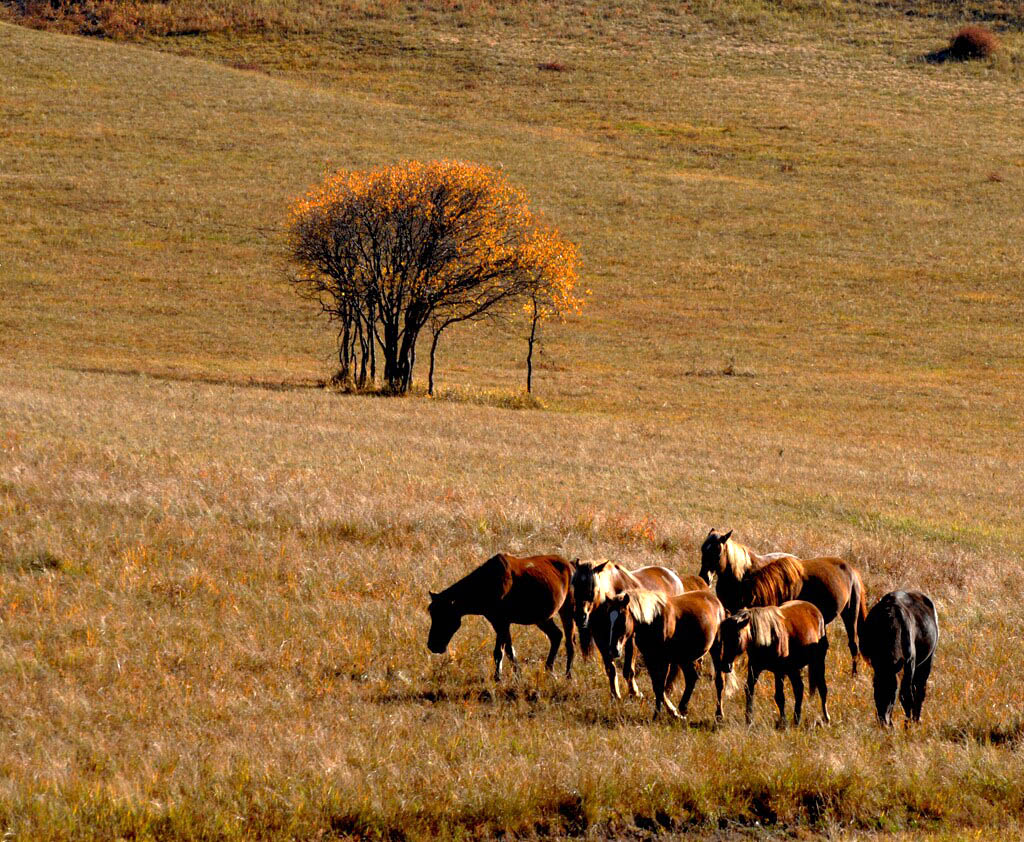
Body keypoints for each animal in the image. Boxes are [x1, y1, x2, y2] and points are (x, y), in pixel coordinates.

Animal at [425, 553, 577, 684]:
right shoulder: (498, 622)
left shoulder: (502, 621)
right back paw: (549, 670)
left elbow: (502, 651)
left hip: (568, 610)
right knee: (556, 636)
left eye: (445, 616)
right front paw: (512, 676)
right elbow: (506, 651)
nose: (433, 645)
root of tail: (572, 566)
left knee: (570, 642)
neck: (487, 584)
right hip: (543, 619)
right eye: (432, 614)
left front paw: (502, 677)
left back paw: (568, 675)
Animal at [569, 561, 704, 700]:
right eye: (575, 587)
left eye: (593, 589)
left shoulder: (630, 640)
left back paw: (668, 689)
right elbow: (610, 669)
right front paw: (615, 695)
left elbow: (629, 670)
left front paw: (634, 693)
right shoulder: (602, 641)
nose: (580, 616)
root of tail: (674, 576)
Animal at [602, 590, 733, 721]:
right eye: (609, 620)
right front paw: (663, 713)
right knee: (691, 678)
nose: (613, 650)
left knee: (719, 682)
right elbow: (657, 686)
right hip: (684, 658)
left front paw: (658, 715)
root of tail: (717, 602)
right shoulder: (650, 659)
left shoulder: (664, 661)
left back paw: (719, 715)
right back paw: (682, 710)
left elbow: (660, 687)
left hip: (716, 649)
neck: (653, 620)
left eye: (623, 620)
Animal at [696, 532, 864, 676]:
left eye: (717, 552)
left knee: (853, 644)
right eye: (703, 549)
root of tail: (851, 570)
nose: (704, 577)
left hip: (851, 614)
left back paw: (854, 674)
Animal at [860, 590, 937, 729]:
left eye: (892, 693)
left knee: (919, 691)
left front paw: (907, 725)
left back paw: (916, 719)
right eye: (876, 693)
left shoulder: (909, 663)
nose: (883, 721)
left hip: (927, 661)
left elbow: (906, 696)